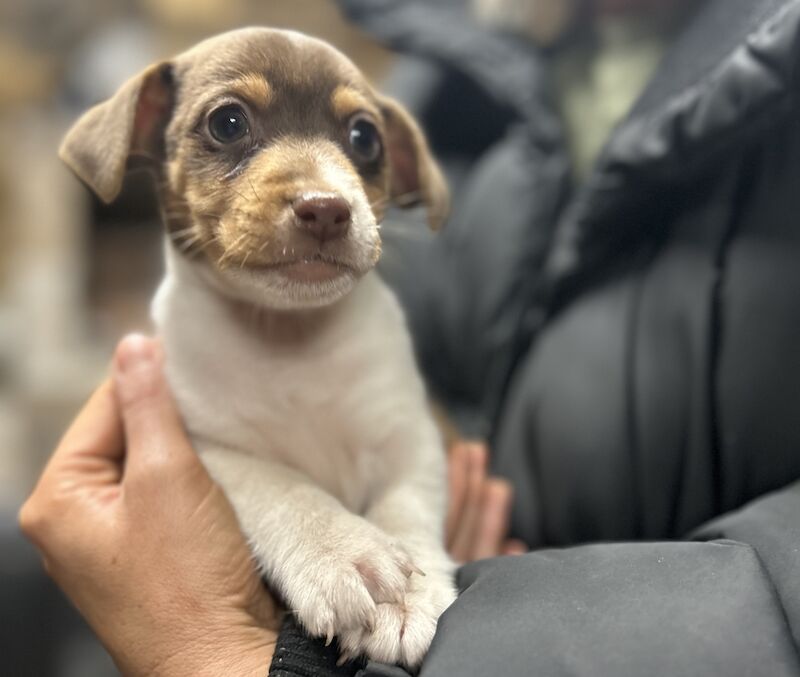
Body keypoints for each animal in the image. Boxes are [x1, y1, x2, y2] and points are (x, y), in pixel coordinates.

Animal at [58, 27, 456, 672]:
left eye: (364, 137)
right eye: (228, 123)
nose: (327, 207)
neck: (286, 340)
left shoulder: (415, 439)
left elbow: (407, 508)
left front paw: (412, 594)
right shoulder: (211, 446)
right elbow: (280, 485)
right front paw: (341, 551)